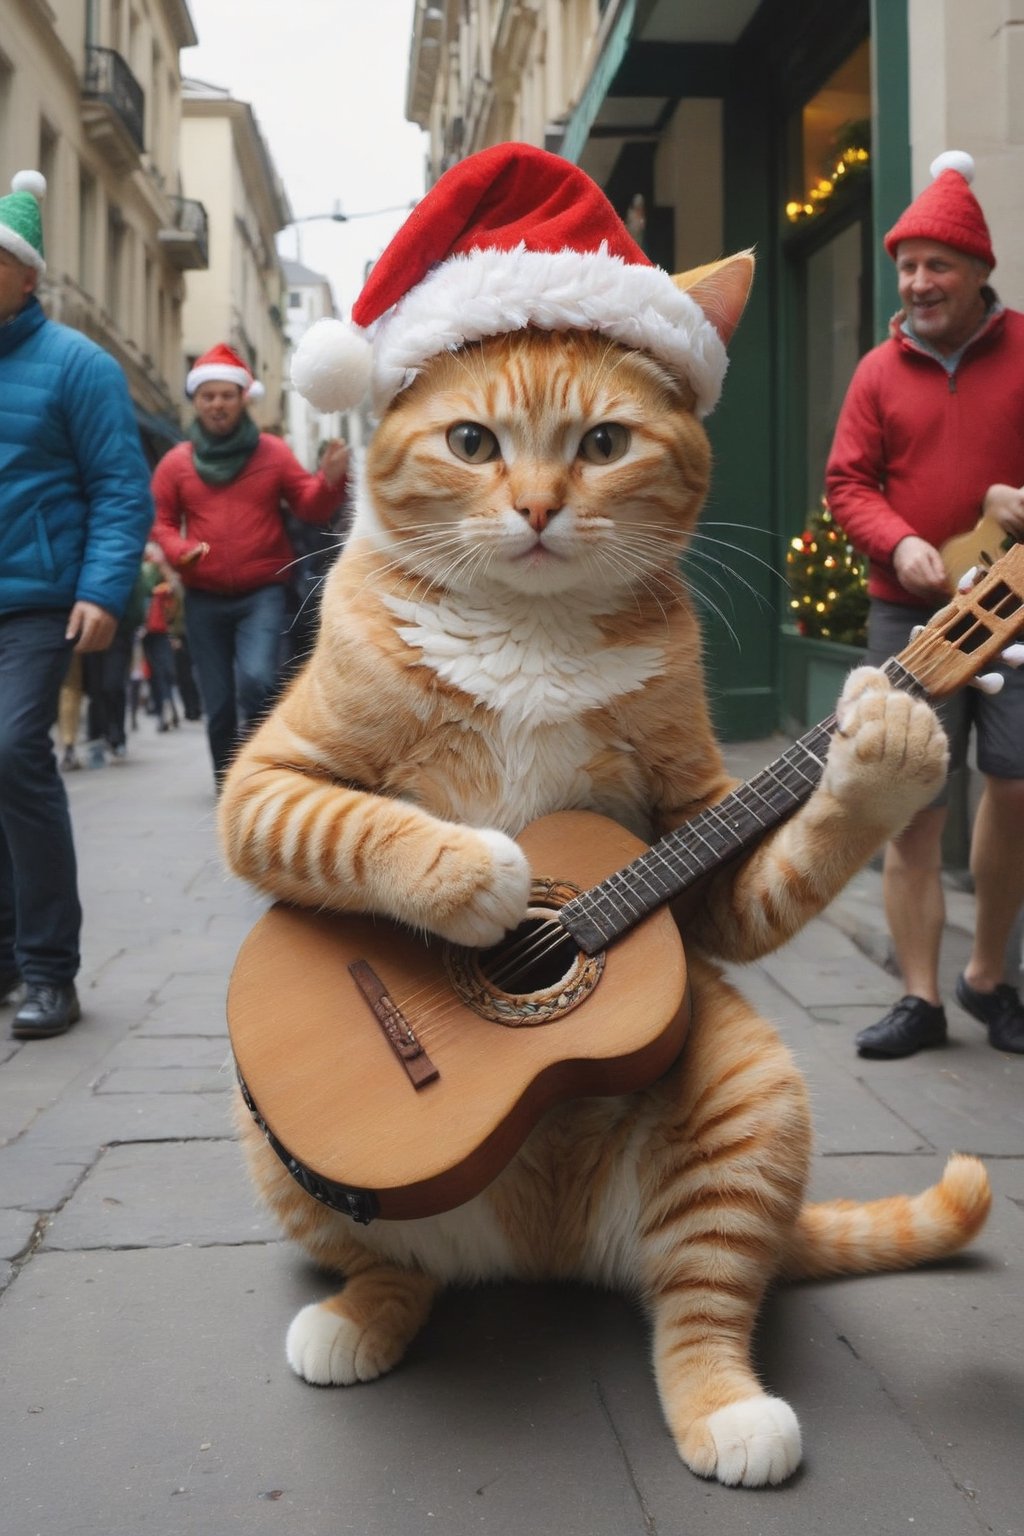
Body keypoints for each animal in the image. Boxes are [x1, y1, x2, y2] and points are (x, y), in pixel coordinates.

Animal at [218, 258, 994, 1492]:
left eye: (602, 443)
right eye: (473, 442)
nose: (538, 509)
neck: (531, 628)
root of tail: (535, 1244)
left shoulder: (695, 831)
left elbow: (756, 887)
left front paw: (883, 749)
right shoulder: (267, 781)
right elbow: (346, 826)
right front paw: (478, 875)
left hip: (746, 1098)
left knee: (700, 1310)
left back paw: (731, 1411)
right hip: (275, 1149)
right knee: (396, 1269)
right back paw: (357, 1318)